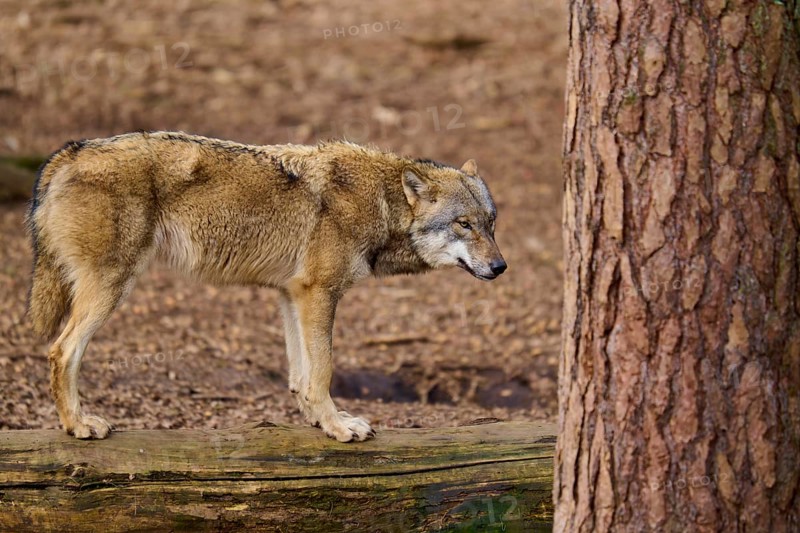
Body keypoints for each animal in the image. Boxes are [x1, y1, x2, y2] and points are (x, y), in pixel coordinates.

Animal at [27, 131, 506, 442]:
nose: (501, 266)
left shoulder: (292, 294)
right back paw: (78, 425)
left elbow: (301, 375)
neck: (380, 202)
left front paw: (319, 420)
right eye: (463, 224)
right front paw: (337, 427)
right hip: (113, 287)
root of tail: (66, 153)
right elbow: (323, 369)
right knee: (61, 351)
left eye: (491, 223)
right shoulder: (319, 293)